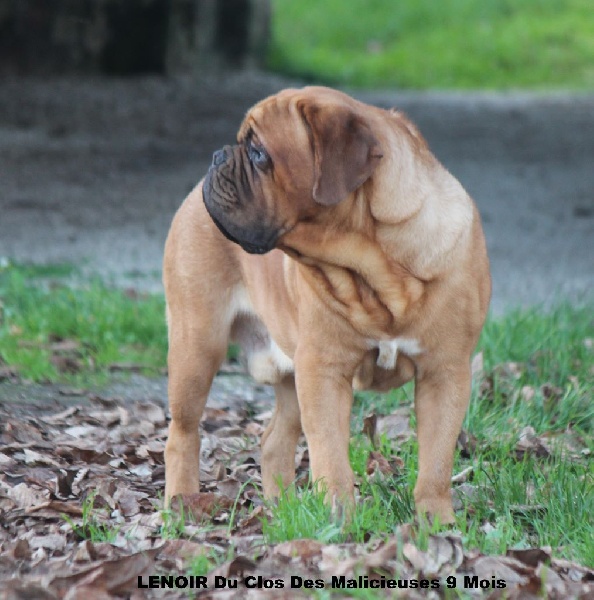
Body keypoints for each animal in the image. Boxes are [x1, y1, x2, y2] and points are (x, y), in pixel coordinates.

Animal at [160, 86, 488, 524]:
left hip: (286, 369)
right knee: (183, 432)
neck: (379, 269)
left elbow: (437, 457)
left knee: (274, 440)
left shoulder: (445, 372)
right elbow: (330, 454)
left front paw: (436, 523)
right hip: (196, 346)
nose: (217, 157)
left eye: (259, 153)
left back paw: (281, 510)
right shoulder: (324, 369)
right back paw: (180, 504)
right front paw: (340, 518)